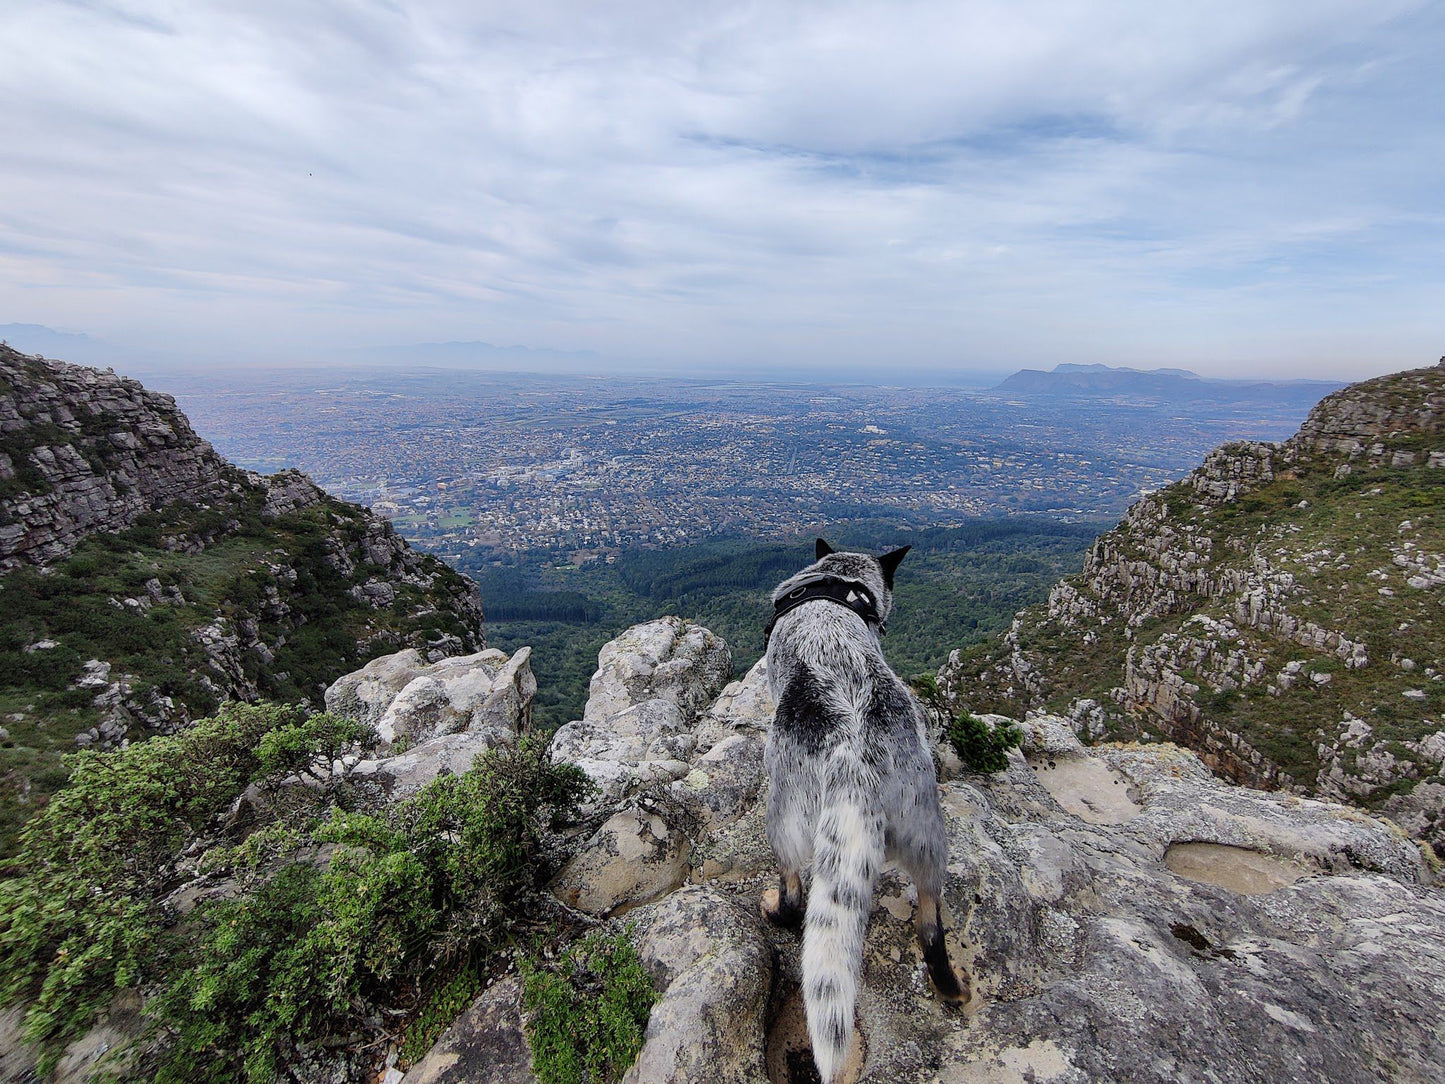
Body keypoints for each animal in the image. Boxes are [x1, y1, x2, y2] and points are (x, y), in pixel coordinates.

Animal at [757, 540, 971, 1081]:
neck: (838, 583)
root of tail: (855, 761)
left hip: (784, 817)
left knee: (795, 891)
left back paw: (776, 909)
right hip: (927, 833)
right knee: (931, 924)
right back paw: (948, 985)